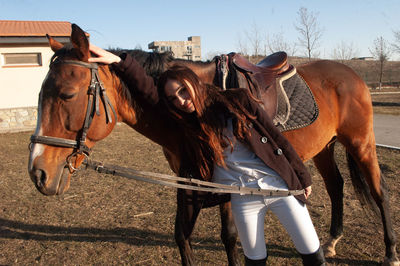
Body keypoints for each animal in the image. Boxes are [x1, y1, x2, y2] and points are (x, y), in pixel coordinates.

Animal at [27, 23, 396, 264]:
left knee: (379, 192)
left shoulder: (226, 182)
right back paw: (332, 241)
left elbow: (230, 237)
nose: (38, 173)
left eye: (67, 94)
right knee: (336, 186)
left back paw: (391, 252)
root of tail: (351, 74)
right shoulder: (189, 177)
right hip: (324, 148)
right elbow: (182, 235)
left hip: (361, 142)